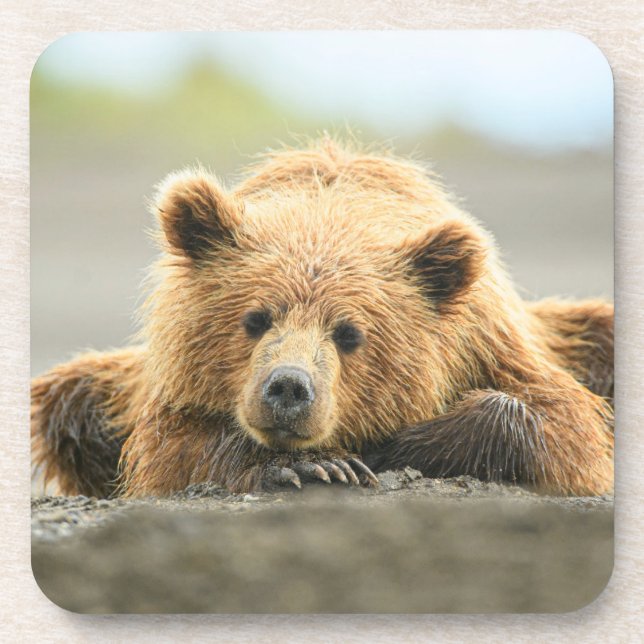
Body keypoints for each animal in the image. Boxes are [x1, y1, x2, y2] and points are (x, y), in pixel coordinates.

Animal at [31, 138, 614, 499]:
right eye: (255, 318)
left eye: (350, 333)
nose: (288, 387)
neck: (330, 209)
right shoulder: (169, 386)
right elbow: (169, 449)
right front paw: (314, 464)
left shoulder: (491, 343)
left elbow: (562, 426)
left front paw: (388, 447)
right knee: (70, 399)